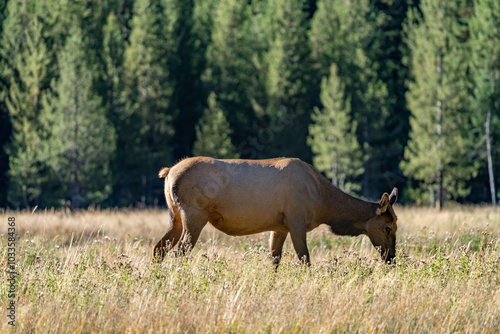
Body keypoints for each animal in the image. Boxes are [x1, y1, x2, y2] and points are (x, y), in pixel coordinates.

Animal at [152, 157, 398, 268]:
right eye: (387, 228)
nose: (391, 258)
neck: (323, 203)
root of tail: (168, 172)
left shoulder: (279, 227)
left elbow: (274, 260)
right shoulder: (297, 219)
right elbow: (304, 259)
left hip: (175, 217)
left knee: (158, 249)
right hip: (195, 215)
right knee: (179, 252)